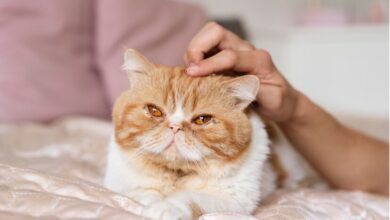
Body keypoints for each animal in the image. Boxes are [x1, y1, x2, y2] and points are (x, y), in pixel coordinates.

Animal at [104, 49, 322, 219]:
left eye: (202, 119)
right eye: (154, 111)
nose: (175, 127)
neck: (177, 175)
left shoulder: (235, 201)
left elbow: (190, 197)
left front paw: (166, 207)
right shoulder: (119, 186)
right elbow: (144, 193)